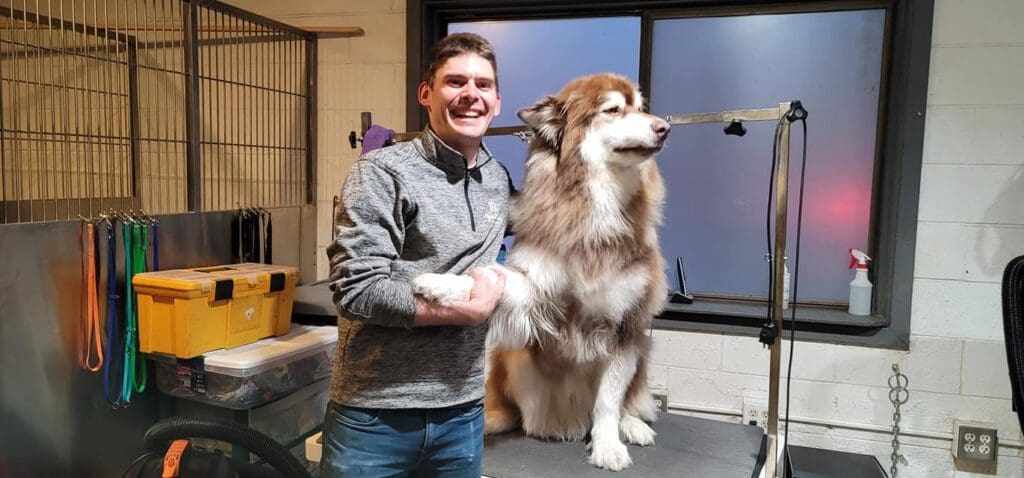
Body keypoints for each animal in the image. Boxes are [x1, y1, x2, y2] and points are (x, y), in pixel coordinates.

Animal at [411, 73, 667, 472]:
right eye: (613, 110)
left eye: (641, 108)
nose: (664, 127)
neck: (595, 204)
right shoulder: (537, 291)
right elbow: (489, 276)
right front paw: (439, 283)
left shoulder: (626, 326)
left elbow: (609, 400)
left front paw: (608, 445)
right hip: (508, 355)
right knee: (510, 409)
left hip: (641, 350)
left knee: (626, 400)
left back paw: (631, 425)